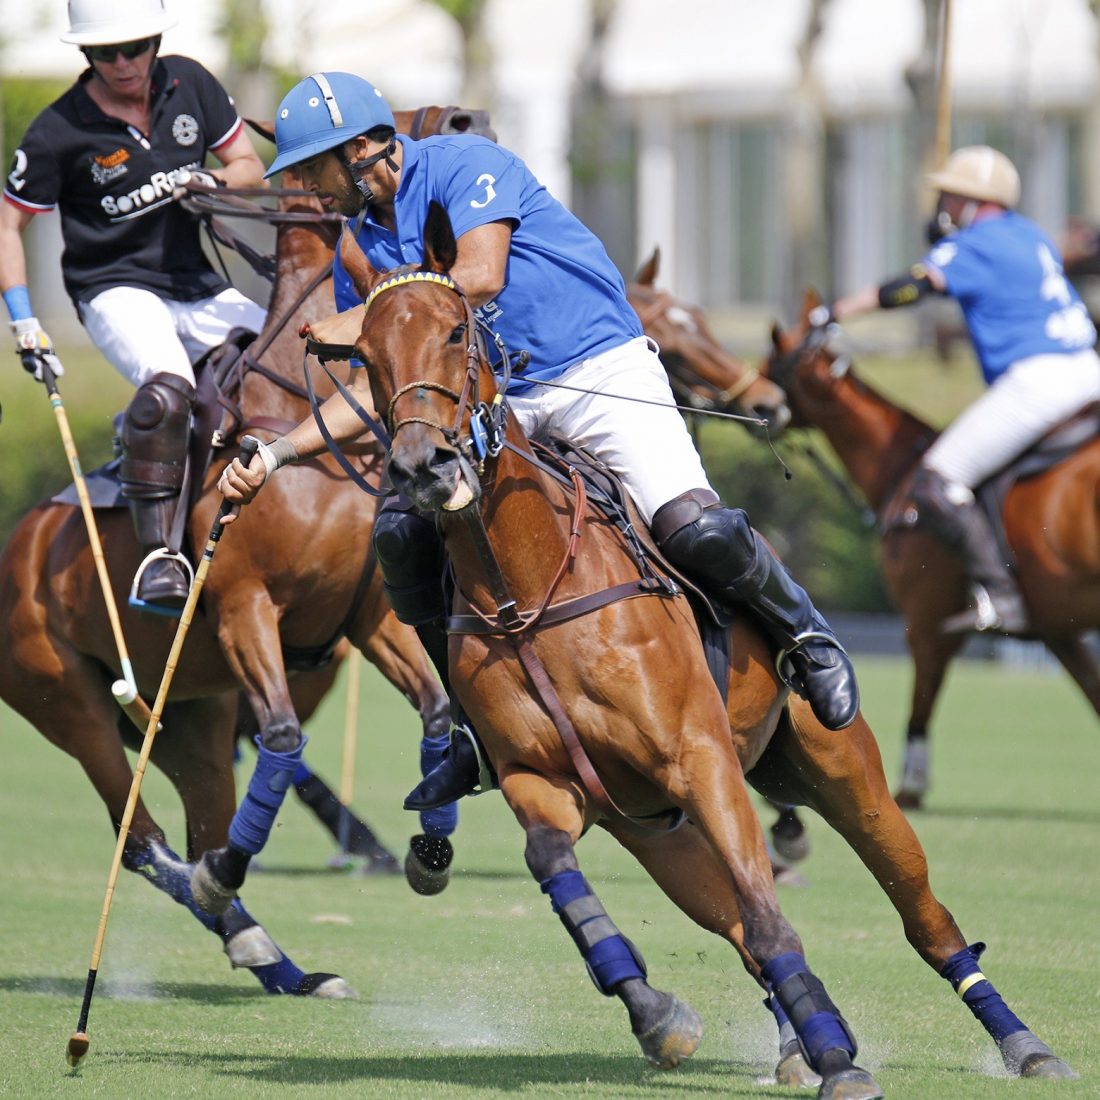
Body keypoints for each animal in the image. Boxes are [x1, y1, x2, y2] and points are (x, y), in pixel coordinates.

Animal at [0, 109, 477, 998]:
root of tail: (20, 543)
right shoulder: (242, 607)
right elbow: (284, 740)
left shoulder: (368, 617)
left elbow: (437, 712)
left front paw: (430, 849)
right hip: (66, 698)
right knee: (144, 839)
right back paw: (226, 907)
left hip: (190, 714)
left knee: (192, 820)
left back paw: (281, 962)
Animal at [765, 297, 1100, 814]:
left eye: (772, 364)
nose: (748, 399)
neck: (901, 468)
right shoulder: (1058, 630)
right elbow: (1094, 693)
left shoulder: (927, 620)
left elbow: (921, 702)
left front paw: (910, 791)